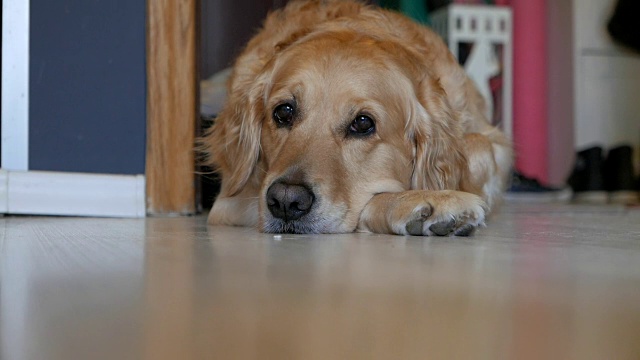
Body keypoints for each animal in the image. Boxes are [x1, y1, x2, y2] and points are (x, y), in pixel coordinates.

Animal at [202, 0, 512, 236]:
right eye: (283, 112)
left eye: (363, 124)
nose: (287, 200)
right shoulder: (229, 202)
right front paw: (425, 201)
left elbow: (480, 148)